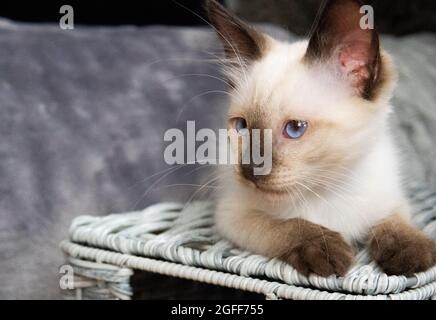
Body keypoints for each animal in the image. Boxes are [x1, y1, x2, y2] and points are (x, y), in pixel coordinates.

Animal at [207, 0, 436, 276]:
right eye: (242, 126)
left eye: (295, 128)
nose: (250, 170)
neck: (329, 188)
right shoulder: (231, 215)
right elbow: (285, 225)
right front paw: (326, 251)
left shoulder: (392, 200)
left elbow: (394, 222)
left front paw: (412, 253)